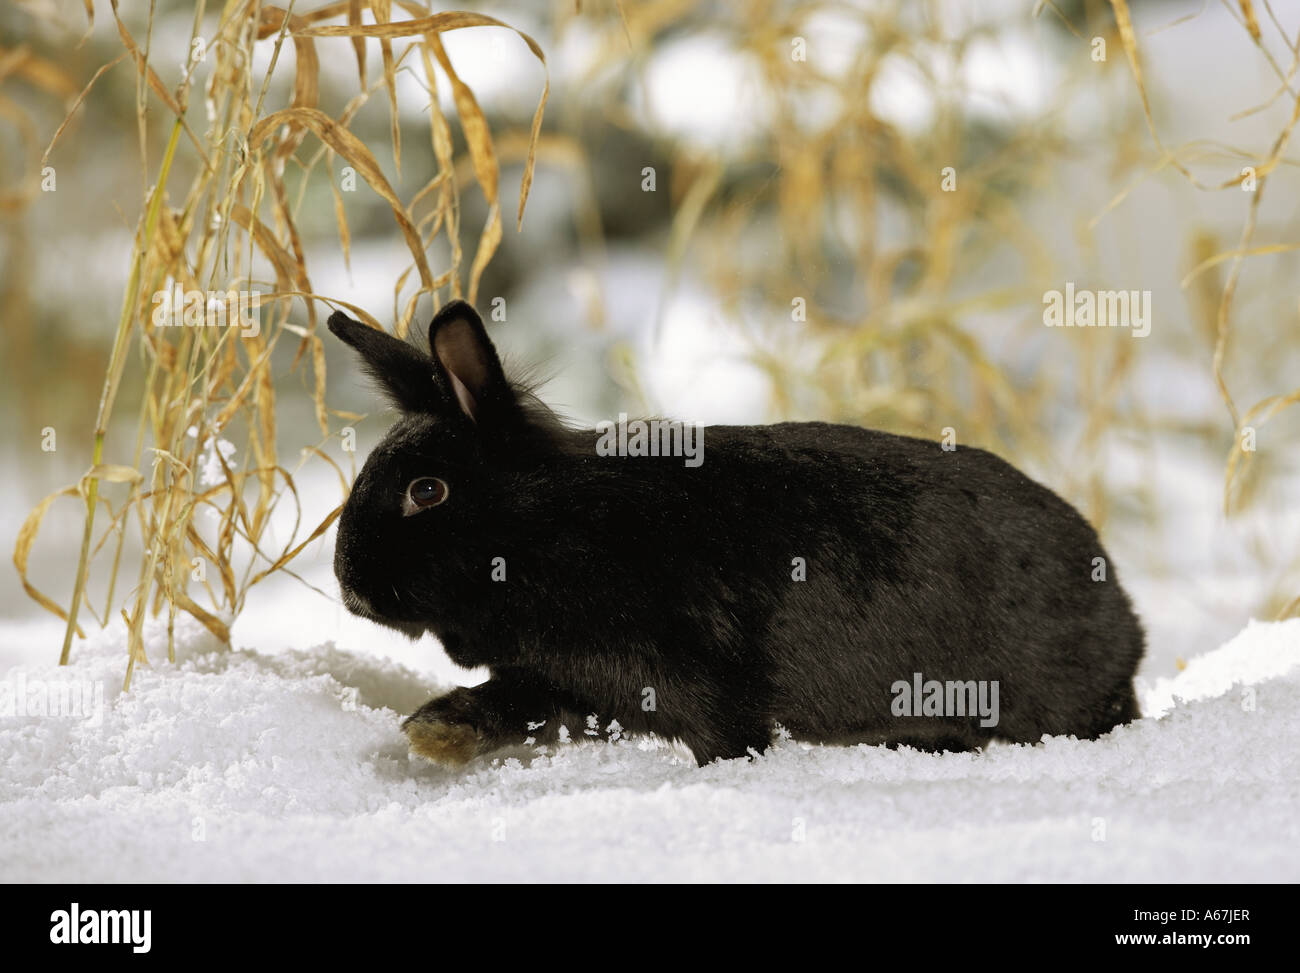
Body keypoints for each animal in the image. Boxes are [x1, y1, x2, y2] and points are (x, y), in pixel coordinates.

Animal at [328, 299, 1145, 768]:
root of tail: (1124, 621)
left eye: (426, 491)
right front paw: (433, 735)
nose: (348, 586)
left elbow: (727, 741)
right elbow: (510, 702)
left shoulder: (691, 679)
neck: (553, 526)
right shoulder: (563, 677)